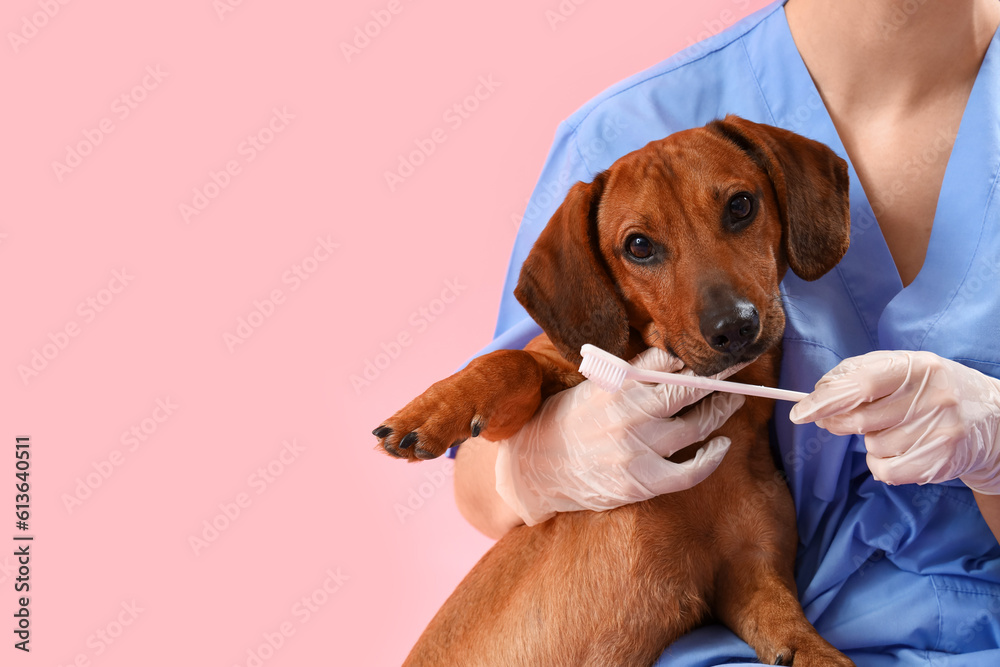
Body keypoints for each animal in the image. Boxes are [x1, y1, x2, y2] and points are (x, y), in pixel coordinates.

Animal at [372, 117, 856, 664]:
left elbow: (794, 633)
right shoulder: (556, 384)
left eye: (740, 206)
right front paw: (436, 408)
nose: (733, 327)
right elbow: (515, 362)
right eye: (639, 246)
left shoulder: (750, 572)